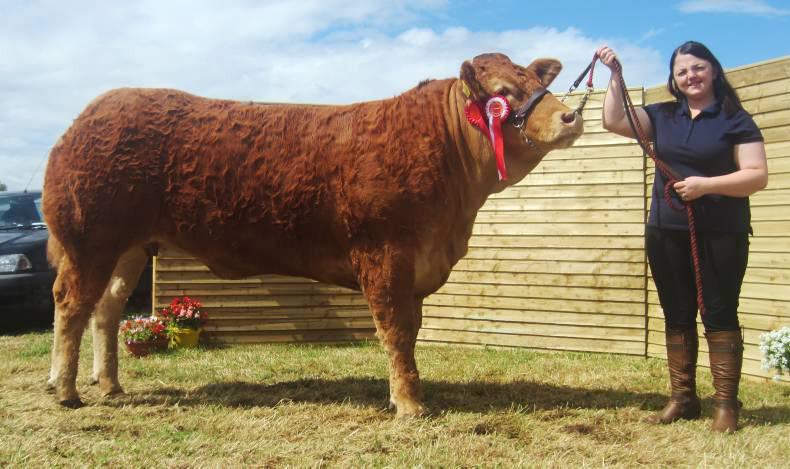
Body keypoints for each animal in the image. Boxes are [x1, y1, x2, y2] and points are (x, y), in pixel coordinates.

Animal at [43, 52, 583, 417]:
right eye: (503, 92)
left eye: (533, 79)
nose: (571, 115)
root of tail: (89, 115)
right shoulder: (384, 252)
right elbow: (396, 331)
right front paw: (411, 406)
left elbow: (409, 332)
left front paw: (404, 395)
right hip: (89, 239)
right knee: (71, 305)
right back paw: (66, 391)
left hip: (129, 248)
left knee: (106, 309)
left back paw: (110, 385)